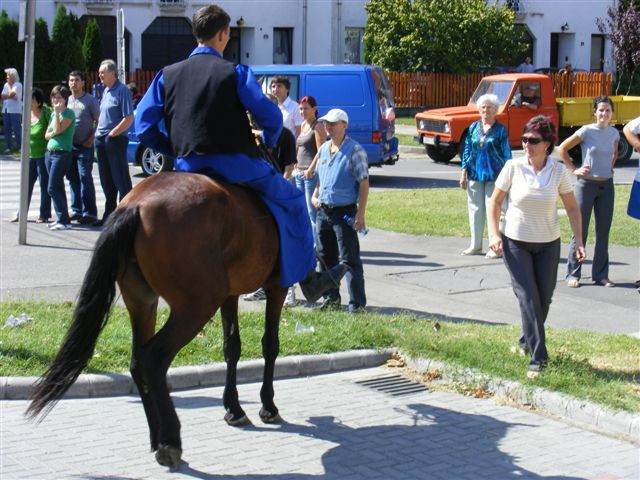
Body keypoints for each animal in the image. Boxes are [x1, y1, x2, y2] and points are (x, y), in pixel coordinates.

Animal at [26, 172, 292, 468]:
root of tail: (135, 205)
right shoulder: (277, 288)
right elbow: (270, 345)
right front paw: (268, 406)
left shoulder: (231, 295)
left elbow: (232, 347)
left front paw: (234, 409)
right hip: (196, 306)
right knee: (154, 357)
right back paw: (170, 442)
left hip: (142, 302)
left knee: (137, 361)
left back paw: (156, 436)